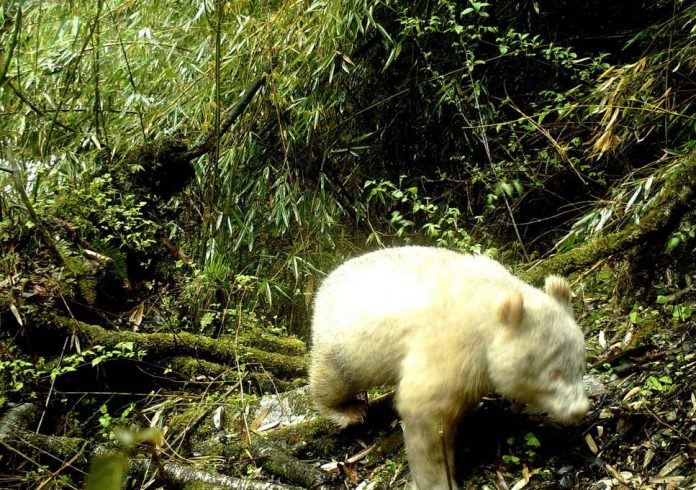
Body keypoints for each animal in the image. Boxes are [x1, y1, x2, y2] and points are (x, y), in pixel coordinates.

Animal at [308, 247, 588, 490]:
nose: (580, 409)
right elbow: (425, 410)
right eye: (553, 372)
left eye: (580, 366)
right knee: (333, 378)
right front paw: (438, 480)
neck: (490, 305)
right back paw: (347, 410)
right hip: (345, 342)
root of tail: (325, 283)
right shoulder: (452, 342)